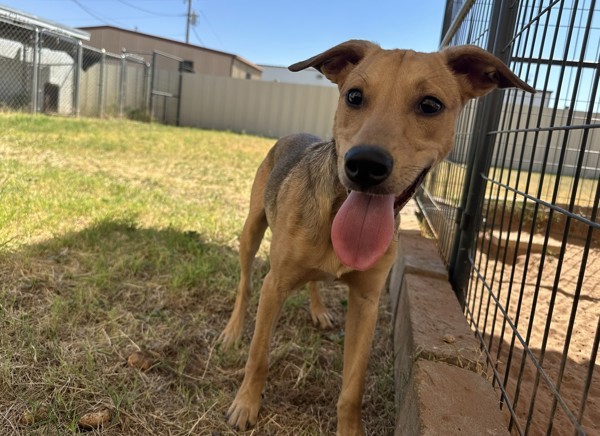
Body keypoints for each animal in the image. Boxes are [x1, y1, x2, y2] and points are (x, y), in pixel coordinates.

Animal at [217, 40, 536, 432]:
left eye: (430, 105)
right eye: (354, 96)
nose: (365, 165)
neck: (336, 212)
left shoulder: (366, 302)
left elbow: (353, 388)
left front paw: (350, 430)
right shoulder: (274, 286)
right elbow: (259, 354)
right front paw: (246, 404)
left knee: (313, 281)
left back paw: (318, 310)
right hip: (252, 230)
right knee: (245, 285)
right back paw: (233, 331)